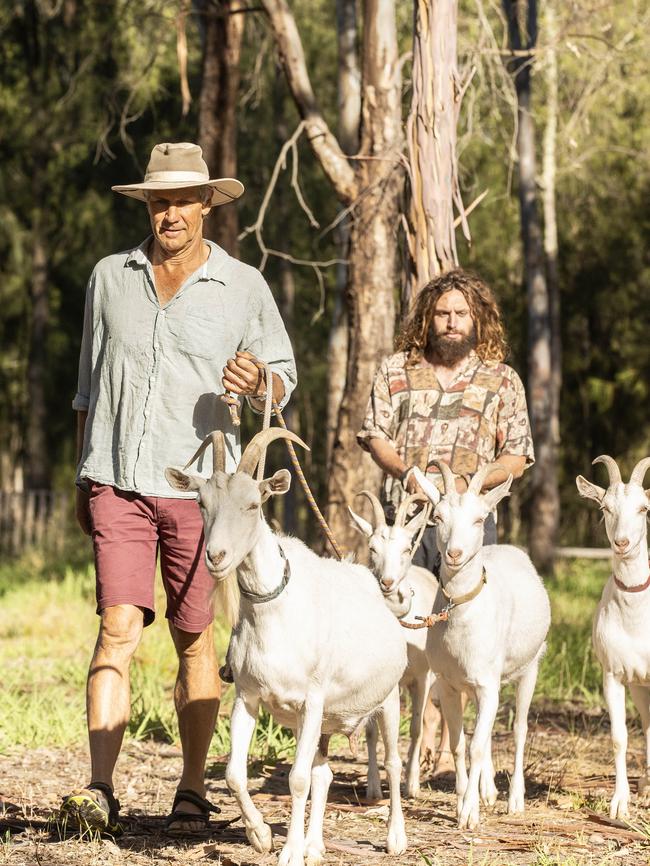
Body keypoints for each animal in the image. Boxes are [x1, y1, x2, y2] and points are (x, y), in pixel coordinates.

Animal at [165, 430, 404, 864]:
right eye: (201, 503)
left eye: (253, 503)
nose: (216, 556)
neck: (274, 614)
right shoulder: (248, 696)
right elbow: (235, 773)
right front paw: (261, 835)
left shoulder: (312, 699)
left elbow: (296, 779)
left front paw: (289, 851)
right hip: (323, 720)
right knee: (323, 772)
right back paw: (315, 845)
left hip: (388, 696)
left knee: (393, 762)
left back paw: (395, 838)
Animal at [350, 486, 436, 796]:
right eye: (372, 548)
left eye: (407, 548)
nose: (387, 583)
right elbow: (372, 730)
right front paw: (374, 787)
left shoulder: (422, 677)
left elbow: (415, 728)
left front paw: (411, 784)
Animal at [416, 460, 548, 832]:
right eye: (438, 517)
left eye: (478, 519)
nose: (454, 554)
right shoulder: (449, 684)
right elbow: (460, 745)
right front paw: (464, 801)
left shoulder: (489, 684)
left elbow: (475, 746)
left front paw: (470, 814)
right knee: (484, 733)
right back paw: (488, 790)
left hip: (529, 668)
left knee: (518, 729)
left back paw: (514, 800)